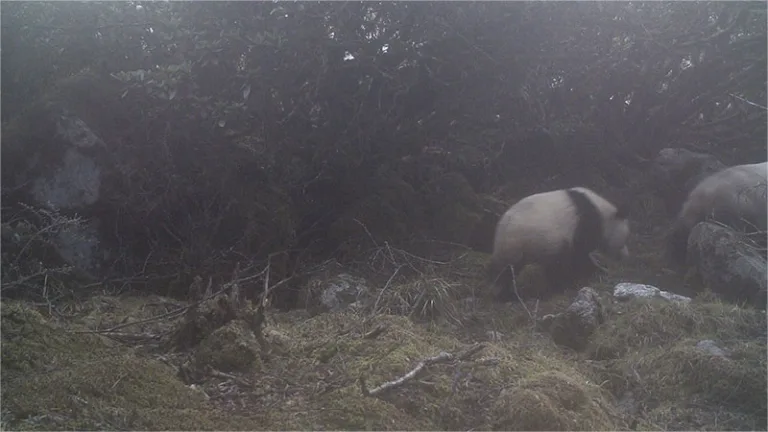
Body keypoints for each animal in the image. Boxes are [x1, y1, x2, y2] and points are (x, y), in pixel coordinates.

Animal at [488, 186, 631, 301]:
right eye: (624, 240)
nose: (625, 255)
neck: (602, 212)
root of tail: (500, 228)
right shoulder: (585, 223)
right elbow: (580, 255)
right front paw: (594, 272)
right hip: (516, 242)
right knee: (505, 270)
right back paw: (503, 294)